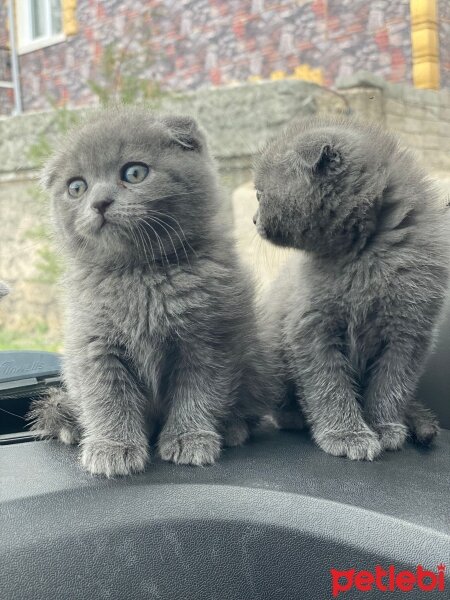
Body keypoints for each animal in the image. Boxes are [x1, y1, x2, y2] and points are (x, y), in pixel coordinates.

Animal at [29, 109, 274, 478]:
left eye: (134, 172)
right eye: (76, 187)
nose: (99, 203)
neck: (139, 274)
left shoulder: (209, 338)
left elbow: (199, 390)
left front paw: (189, 438)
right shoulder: (94, 343)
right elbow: (107, 396)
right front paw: (112, 446)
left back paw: (233, 427)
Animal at [255, 118, 448, 464]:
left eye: (260, 195)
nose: (252, 220)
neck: (363, 255)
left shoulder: (409, 332)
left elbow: (391, 383)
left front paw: (384, 426)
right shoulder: (309, 327)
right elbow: (328, 383)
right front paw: (347, 434)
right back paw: (292, 415)